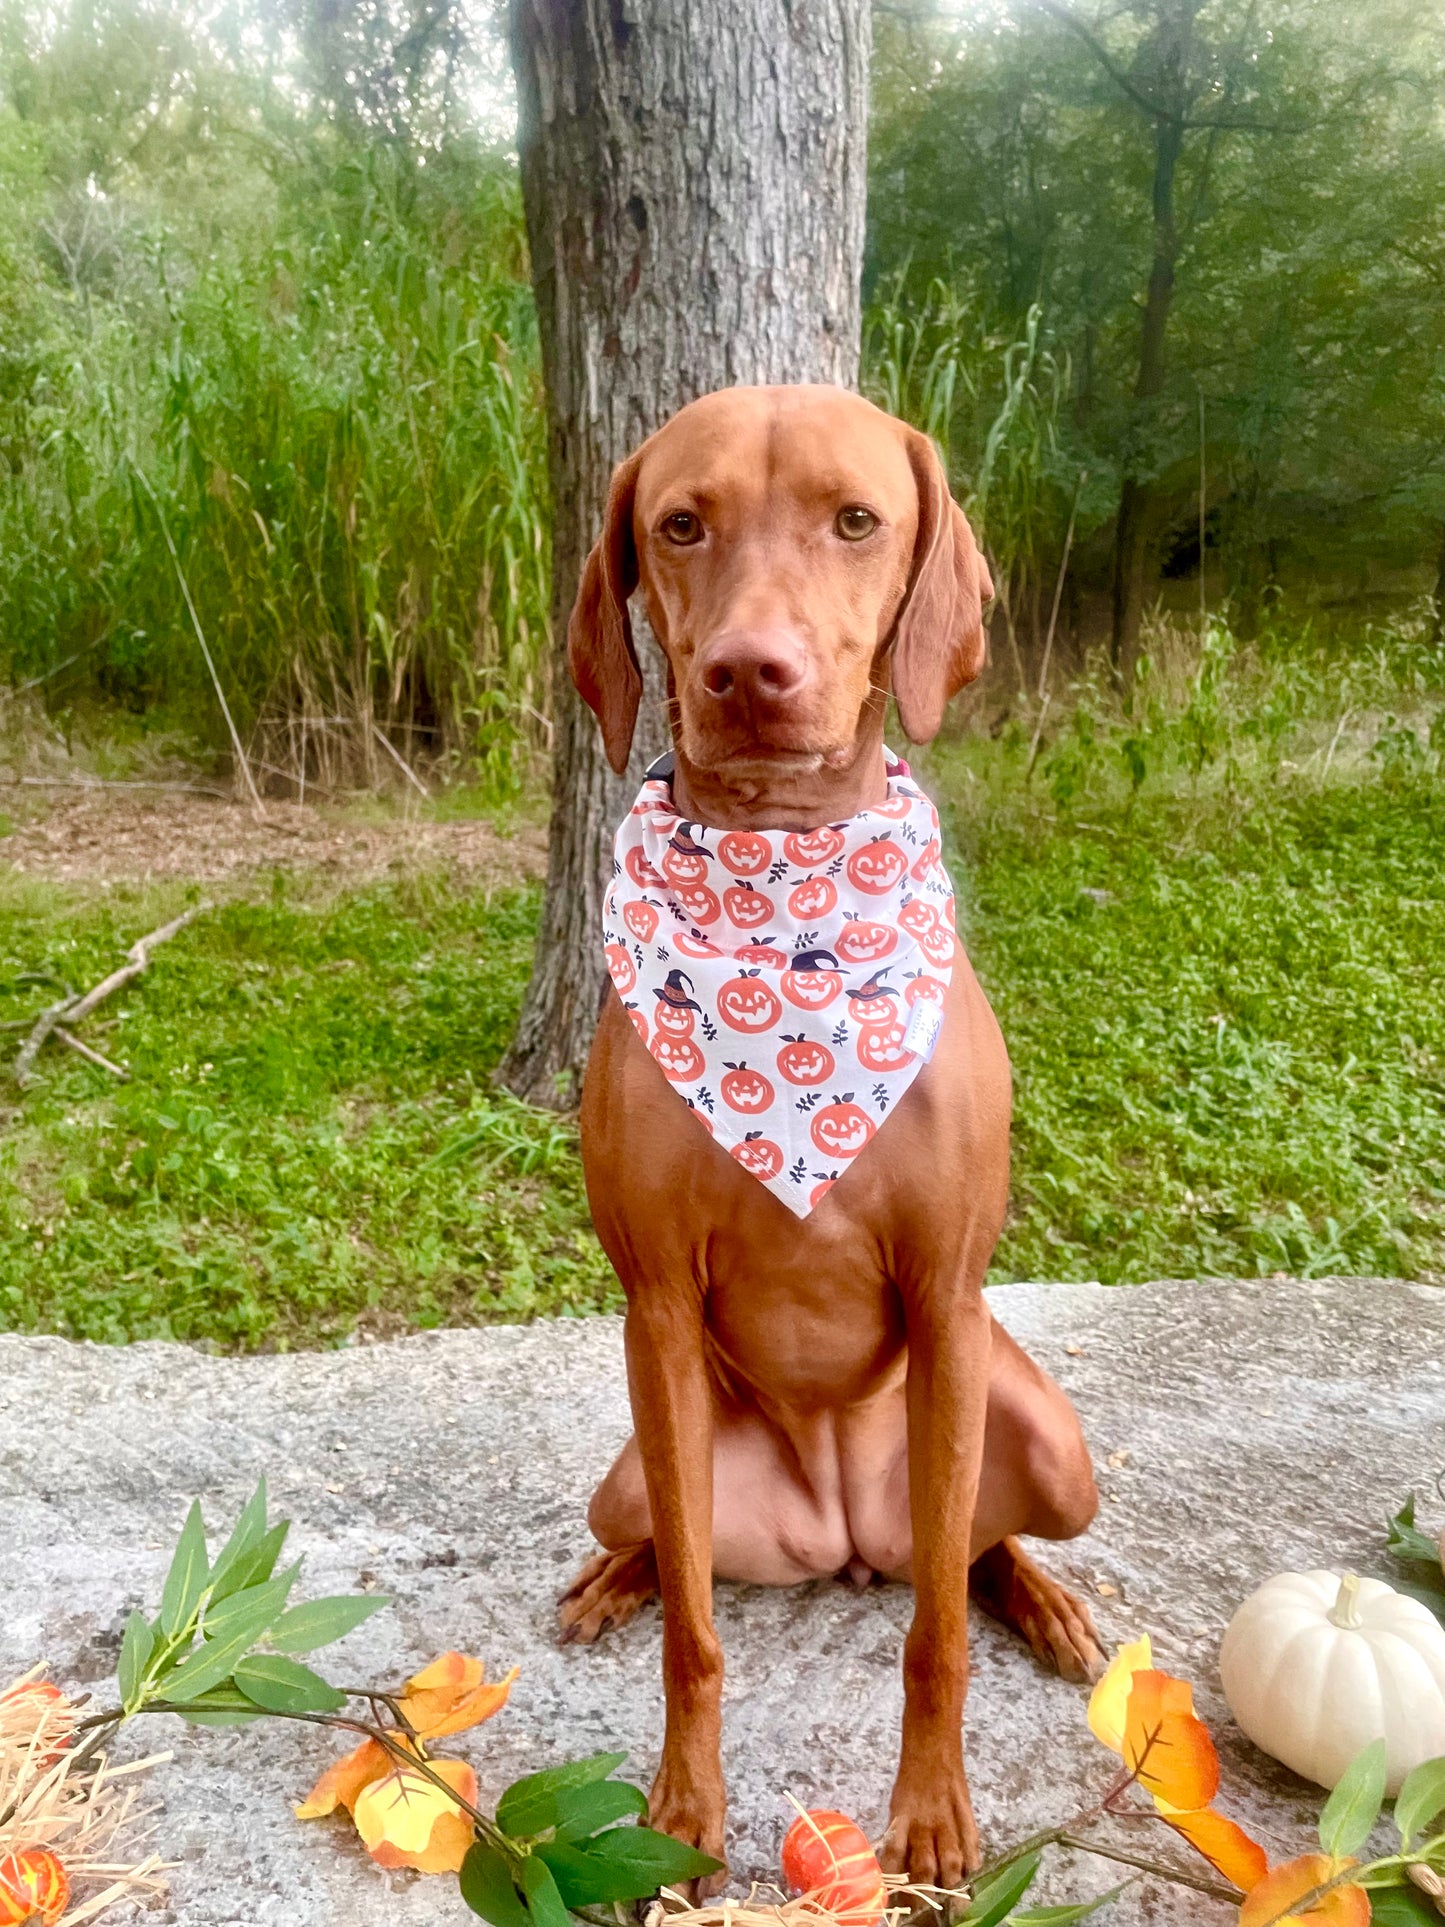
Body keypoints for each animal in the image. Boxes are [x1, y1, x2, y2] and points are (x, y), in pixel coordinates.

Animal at [558, 383, 1102, 1888]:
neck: (785, 882)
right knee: (663, 1538)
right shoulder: (653, 1308)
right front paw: (683, 1809)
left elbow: (937, 1640)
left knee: (964, 1557)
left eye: (856, 520)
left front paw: (930, 1810)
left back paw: (1042, 1598)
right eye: (680, 525)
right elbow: (696, 1630)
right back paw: (609, 1580)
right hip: (632, 1467)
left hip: (1042, 1441)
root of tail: (849, 1534)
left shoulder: (948, 1293)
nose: (750, 670)